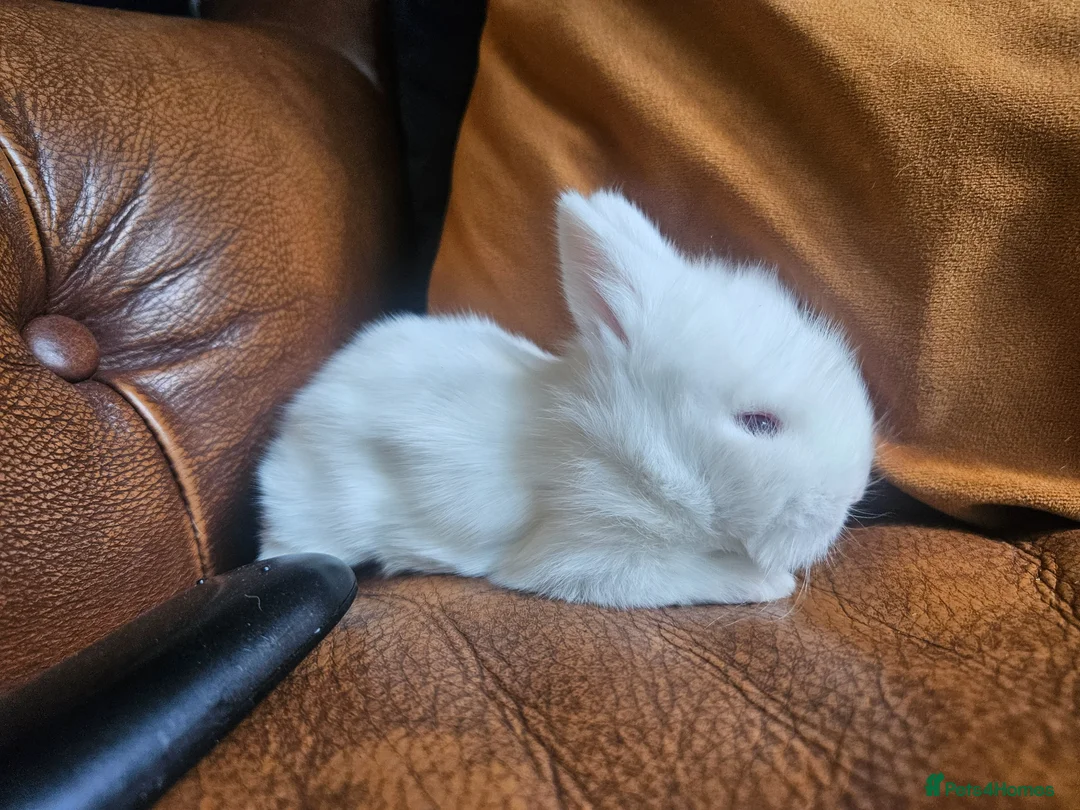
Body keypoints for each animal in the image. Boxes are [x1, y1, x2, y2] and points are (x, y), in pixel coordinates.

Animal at [257, 188, 876, 609]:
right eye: (758, 423)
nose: (844, 504)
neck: (633, 446)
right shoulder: (588, 553)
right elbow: (687, 573)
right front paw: (770, 583)